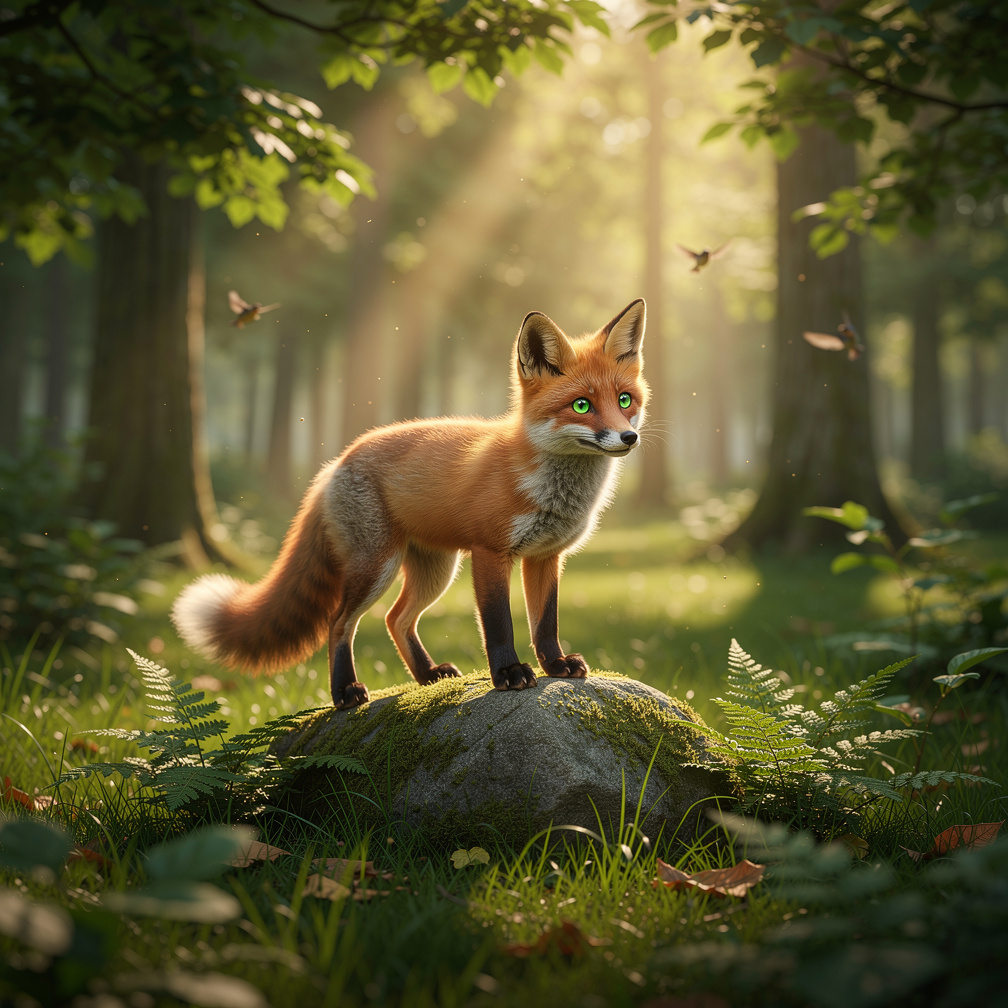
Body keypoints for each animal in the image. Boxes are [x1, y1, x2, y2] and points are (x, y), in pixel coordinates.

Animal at [171, 298, 648, 709]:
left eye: (625, 400)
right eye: (581, 406)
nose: (629, 437)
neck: (549, 487)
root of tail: (336, 461)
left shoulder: (546, 556)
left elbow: (545, 623)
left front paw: (556, 665)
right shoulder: (490, 552)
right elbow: (499, 625)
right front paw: (509, 673)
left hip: (435, 570)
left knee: (396, 619)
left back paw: (426, 676)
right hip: (377, 566)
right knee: (339, 623)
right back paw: (345, 693)